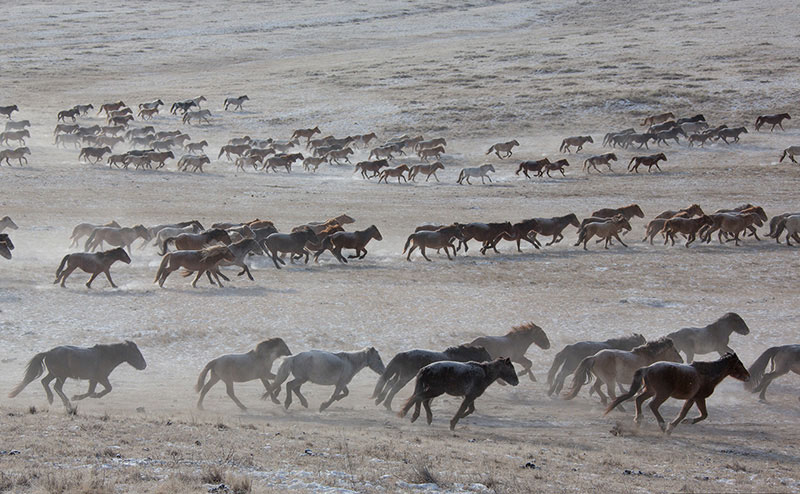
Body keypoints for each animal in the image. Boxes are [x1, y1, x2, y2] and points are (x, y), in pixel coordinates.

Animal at [8, 341, 147, 412]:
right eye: (136, 353)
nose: (144, 365)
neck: (106, 356)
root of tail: (48, 352)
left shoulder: (94, 379)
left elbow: (90, 391)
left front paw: (84, 396)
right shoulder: (101, 377)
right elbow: (108, 389)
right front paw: (78, 397)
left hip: (54, 374)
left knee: (45, 382)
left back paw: (51, 399)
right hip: (61, 375)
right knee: (56, 387)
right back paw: (67, 404)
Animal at [604, 353, 749, 434]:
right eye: (739, 364)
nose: (748, 376)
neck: (707, 374)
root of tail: (648, 368)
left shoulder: (692, 399)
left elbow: (688, 413)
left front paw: (679, 423)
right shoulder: (699, 398)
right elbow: (699, 414)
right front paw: (674, 426)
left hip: (650, 390)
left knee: (639, 400)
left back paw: (638, 420)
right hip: (662, 394)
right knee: (652, 405)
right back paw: (662, 426)